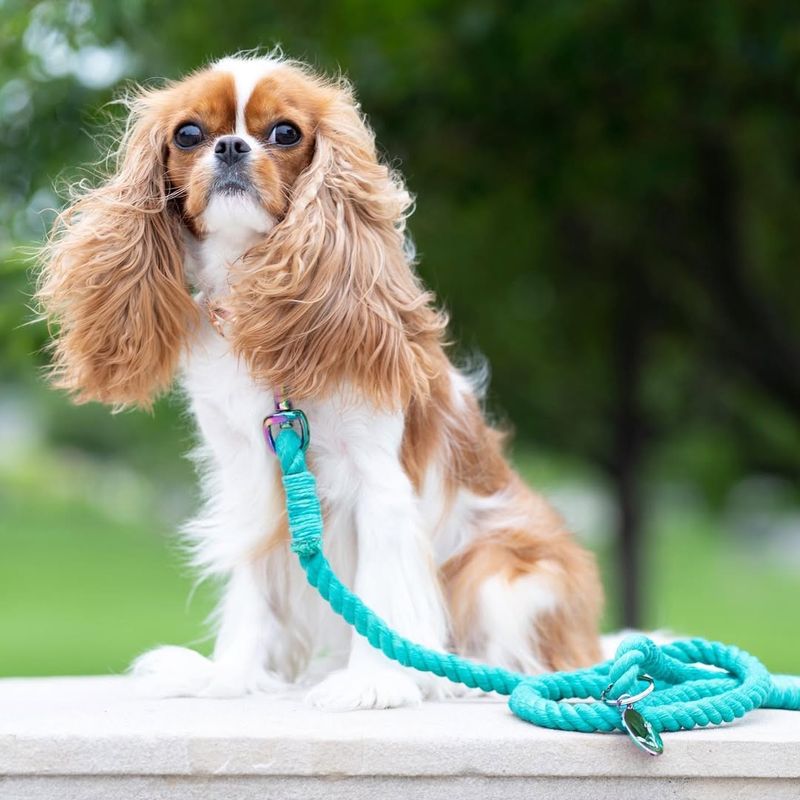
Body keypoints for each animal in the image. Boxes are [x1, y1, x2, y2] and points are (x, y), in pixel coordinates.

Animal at [36, 53, 600, 708]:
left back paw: (460, 680)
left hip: (505, 574)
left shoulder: (381, 487)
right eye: (189, 134)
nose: (231, 146)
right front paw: (232, 676)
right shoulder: (255, 479)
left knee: (532, 657)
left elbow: (381, 595)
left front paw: (373, 683)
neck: (254, 291)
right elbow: (253, 585)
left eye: (284, 133)